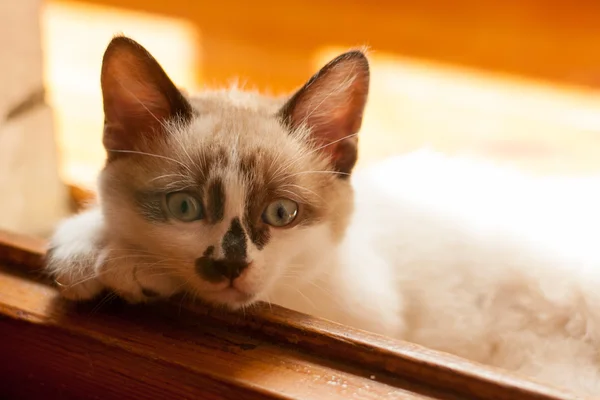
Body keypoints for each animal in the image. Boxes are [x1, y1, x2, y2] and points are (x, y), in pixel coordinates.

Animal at [48, 36, 600, 396]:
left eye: (281, 212)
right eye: (185, 207)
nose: (229, 266)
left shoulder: (357, 310)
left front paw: (115, 260)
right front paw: (87, 250)